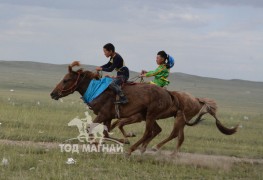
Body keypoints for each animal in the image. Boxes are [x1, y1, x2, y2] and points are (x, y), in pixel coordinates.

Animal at [49, 61, 182, 155]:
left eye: (66, 80)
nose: (53, 93)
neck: (97, 90)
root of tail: (168, 93)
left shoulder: (103, 114)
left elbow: (89, 128)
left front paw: (97, 145)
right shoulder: (108, 117)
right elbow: (106, 133)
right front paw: (123, 140)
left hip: (151, 115)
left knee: (148, 132)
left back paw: (131, 150)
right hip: (148, 115)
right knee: (155, 130)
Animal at [110, 91, 238, 155]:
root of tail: (197, 100)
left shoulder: (137, 117)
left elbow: (119, 124)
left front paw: (129, 138)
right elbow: (116, 124)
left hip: (180, 118)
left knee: (174, 134)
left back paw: (157, 147)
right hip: (181, 119)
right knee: (180, 136)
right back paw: (173, 154)